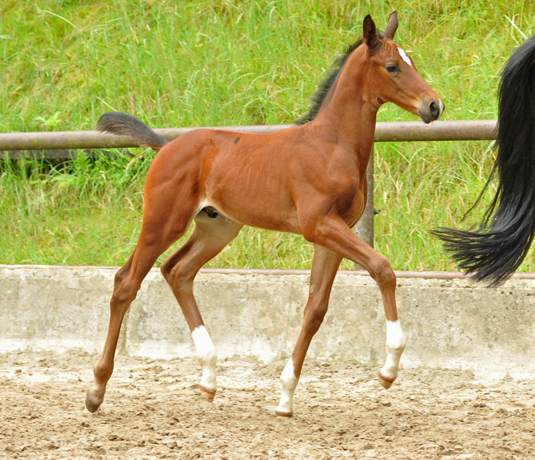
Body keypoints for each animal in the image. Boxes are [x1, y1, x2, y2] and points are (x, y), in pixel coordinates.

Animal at [85, 13, 444, 416]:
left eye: (412, 62)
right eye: (392, 66)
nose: (434, 106)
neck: (332, 145)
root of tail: (166, 146)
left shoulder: (333, 234)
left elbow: (316, 308)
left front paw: (286, 396)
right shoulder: (319, 225)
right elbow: (382, 268)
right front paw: (389, 369)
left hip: (218, 228)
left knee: (177, 271)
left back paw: (209, 378)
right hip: (163, 222)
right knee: (125, 283)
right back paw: (96, 390)